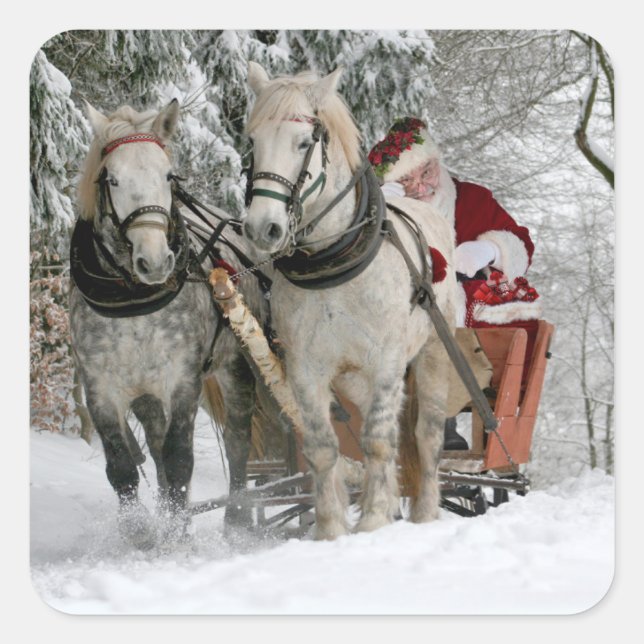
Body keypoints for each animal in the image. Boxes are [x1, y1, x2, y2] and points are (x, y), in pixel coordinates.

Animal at [70, 100, 264, 548]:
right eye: (113, 179)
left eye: (168, 175)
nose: (156, 261)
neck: (132, 300)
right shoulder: (101, 387)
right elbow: (123, 465)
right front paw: (142, 531)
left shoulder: (182, 379)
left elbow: (179, 459)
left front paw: (177, 535)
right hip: (145, 392)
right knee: (155, 446)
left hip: (236, 366)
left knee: (238, 439)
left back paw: (237, 520)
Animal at [242, 63, 458, 540]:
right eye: (252, 142)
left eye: (304, 142)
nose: (262, 228)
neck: (333, 261)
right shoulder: (305, 368)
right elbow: (323, 447)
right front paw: (330, 529)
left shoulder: (388, 361)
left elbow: (377, 440)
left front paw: (374, 519)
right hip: (354, 378)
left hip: (434, 354)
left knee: (426, 435)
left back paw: (425, 512)